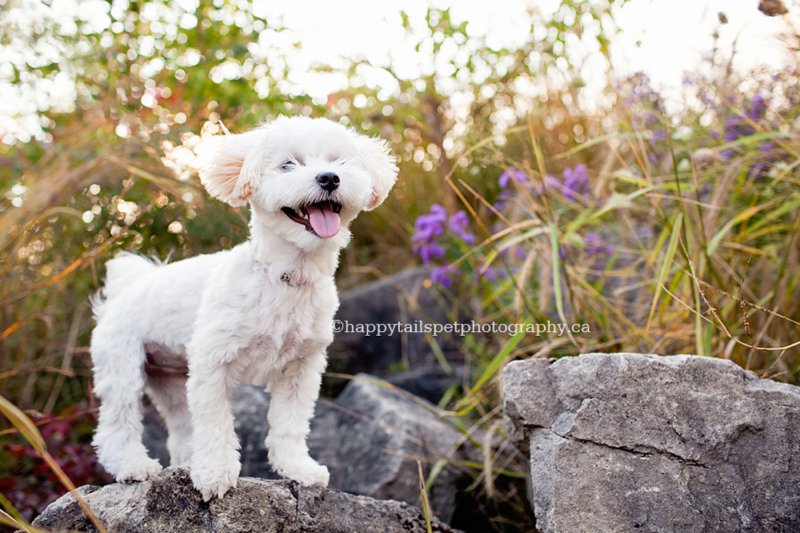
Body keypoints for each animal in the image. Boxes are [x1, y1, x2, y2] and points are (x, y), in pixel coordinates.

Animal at [90, 116, 396, 498]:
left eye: (340, 162)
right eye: (288, 164)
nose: (329, 178)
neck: (285, 276)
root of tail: (126, 288)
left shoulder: (302, 368)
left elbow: (289, 424)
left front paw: (297, 467)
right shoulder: (213, 365)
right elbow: (215, 424)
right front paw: (215, 473)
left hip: (170, 380)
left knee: (180, 427)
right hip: (122, 366)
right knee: (118, 422)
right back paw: (133, 466)